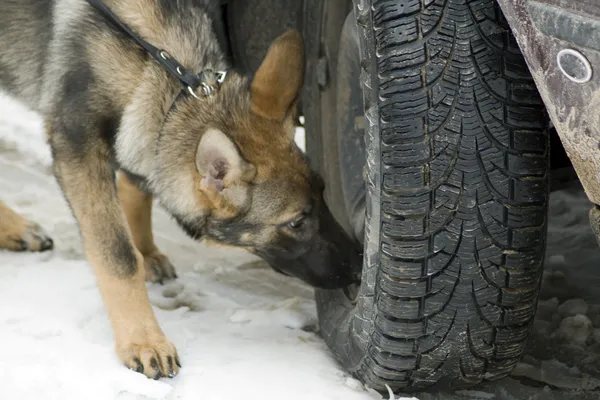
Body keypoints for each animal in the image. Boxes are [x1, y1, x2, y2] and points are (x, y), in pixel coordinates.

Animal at [0, 0, 360, 378]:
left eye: (324, 194)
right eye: (295, 223)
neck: (157, 66)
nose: (359, 265)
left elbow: (138, 189)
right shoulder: (77, 149)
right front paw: (143, 339)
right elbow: (118, 256)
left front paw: (145, 251)